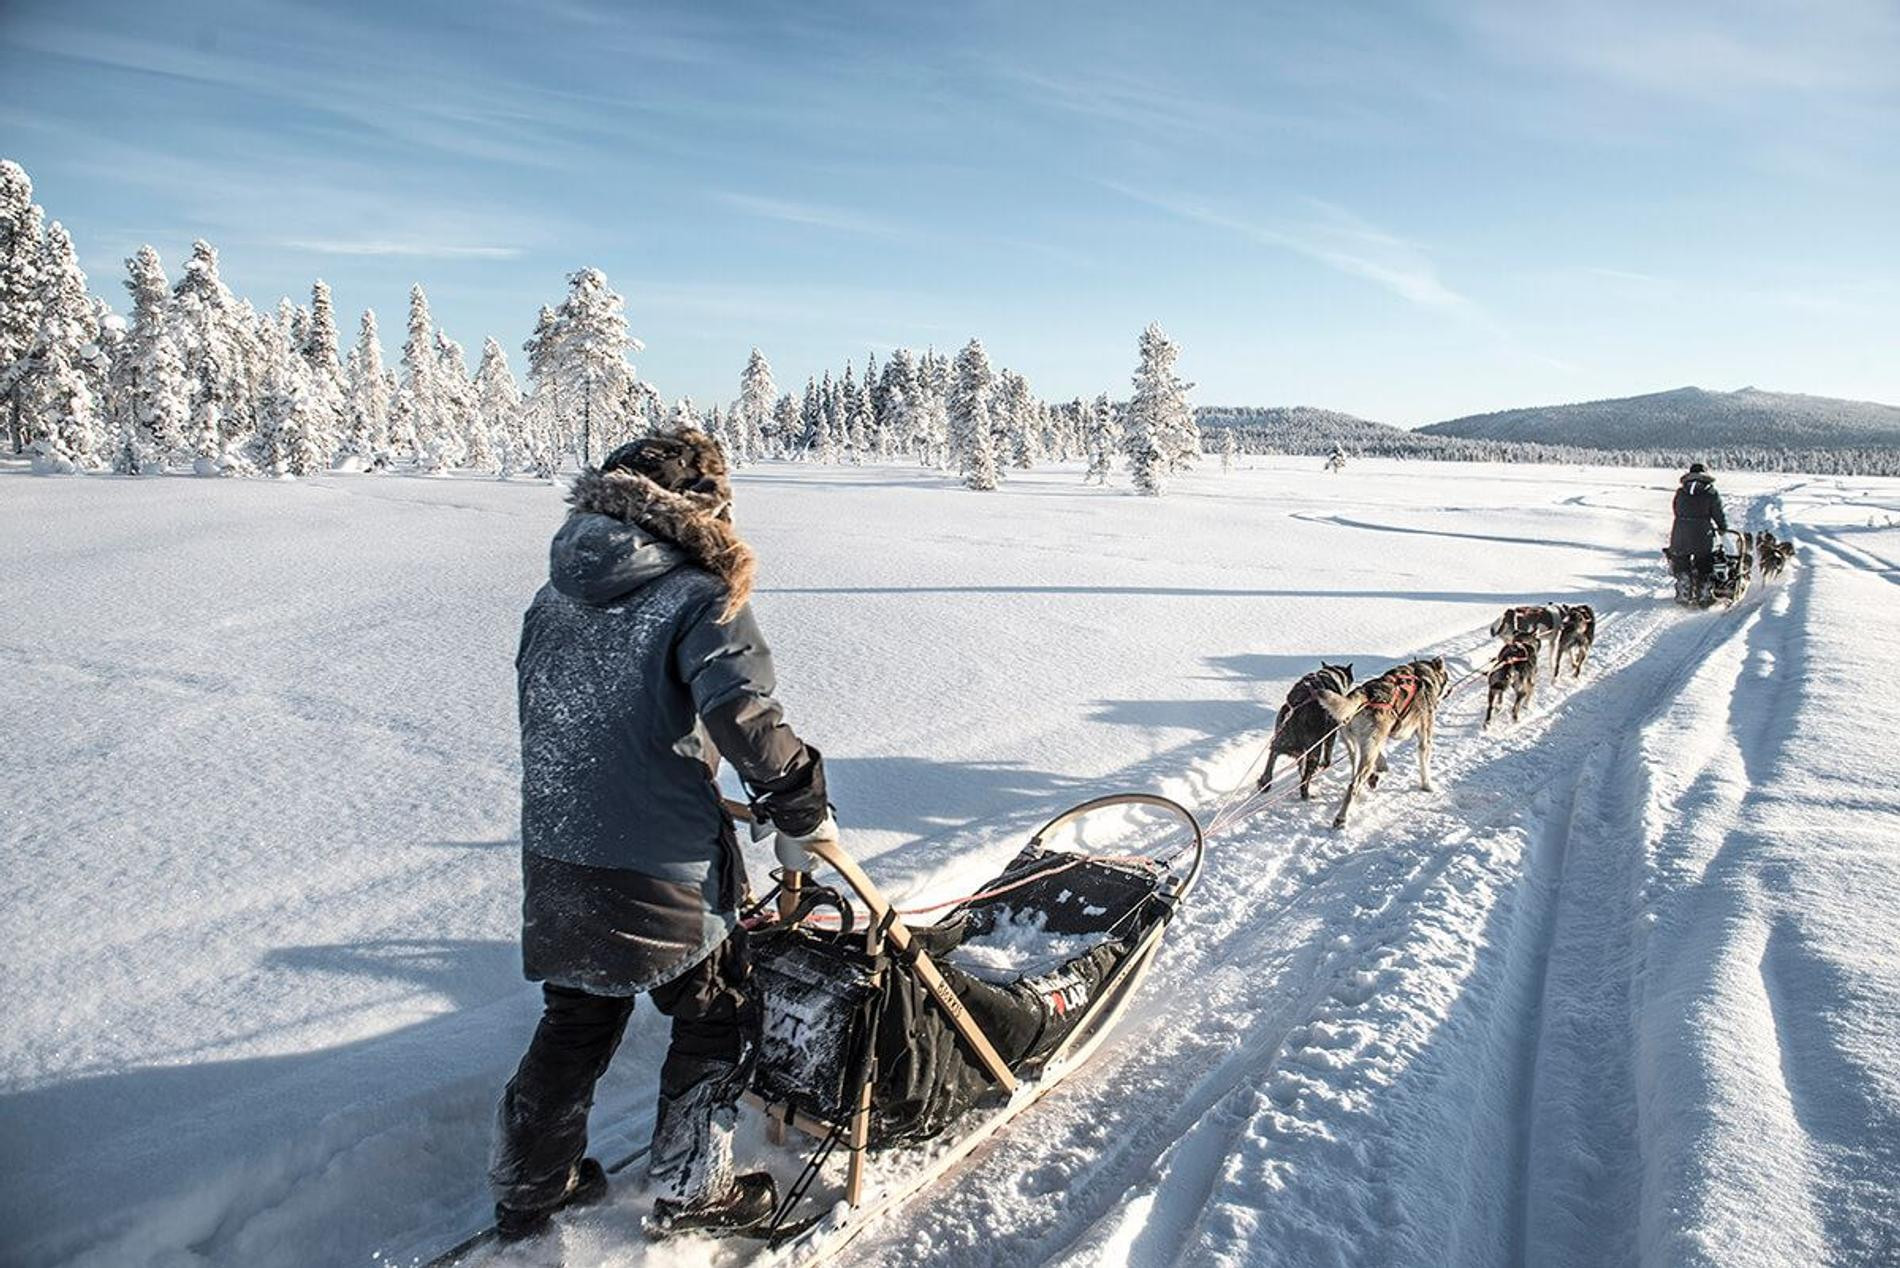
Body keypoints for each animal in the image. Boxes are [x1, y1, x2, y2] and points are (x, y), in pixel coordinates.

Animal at [1261, 661, 1352, 798]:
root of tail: (1297, 709)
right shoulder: (1331, 732)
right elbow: (1328, 752)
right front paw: (1326, 765)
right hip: (1313, 751)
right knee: (1305, 779)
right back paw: (1306, 794)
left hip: (1280, 742)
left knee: (1271, 760)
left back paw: (1264, 783)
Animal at [1314, 653, 1444, 832]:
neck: (1422, 674)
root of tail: (1365, 694)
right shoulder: (1424, 735)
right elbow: (1424, 764)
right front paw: (1427, 786)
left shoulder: (1379, 740)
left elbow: (1382, 760)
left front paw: (1379, 770)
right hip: (1368, 750)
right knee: (1353, 785)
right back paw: (1342, 818)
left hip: (1356, 748)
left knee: (1355, 773)